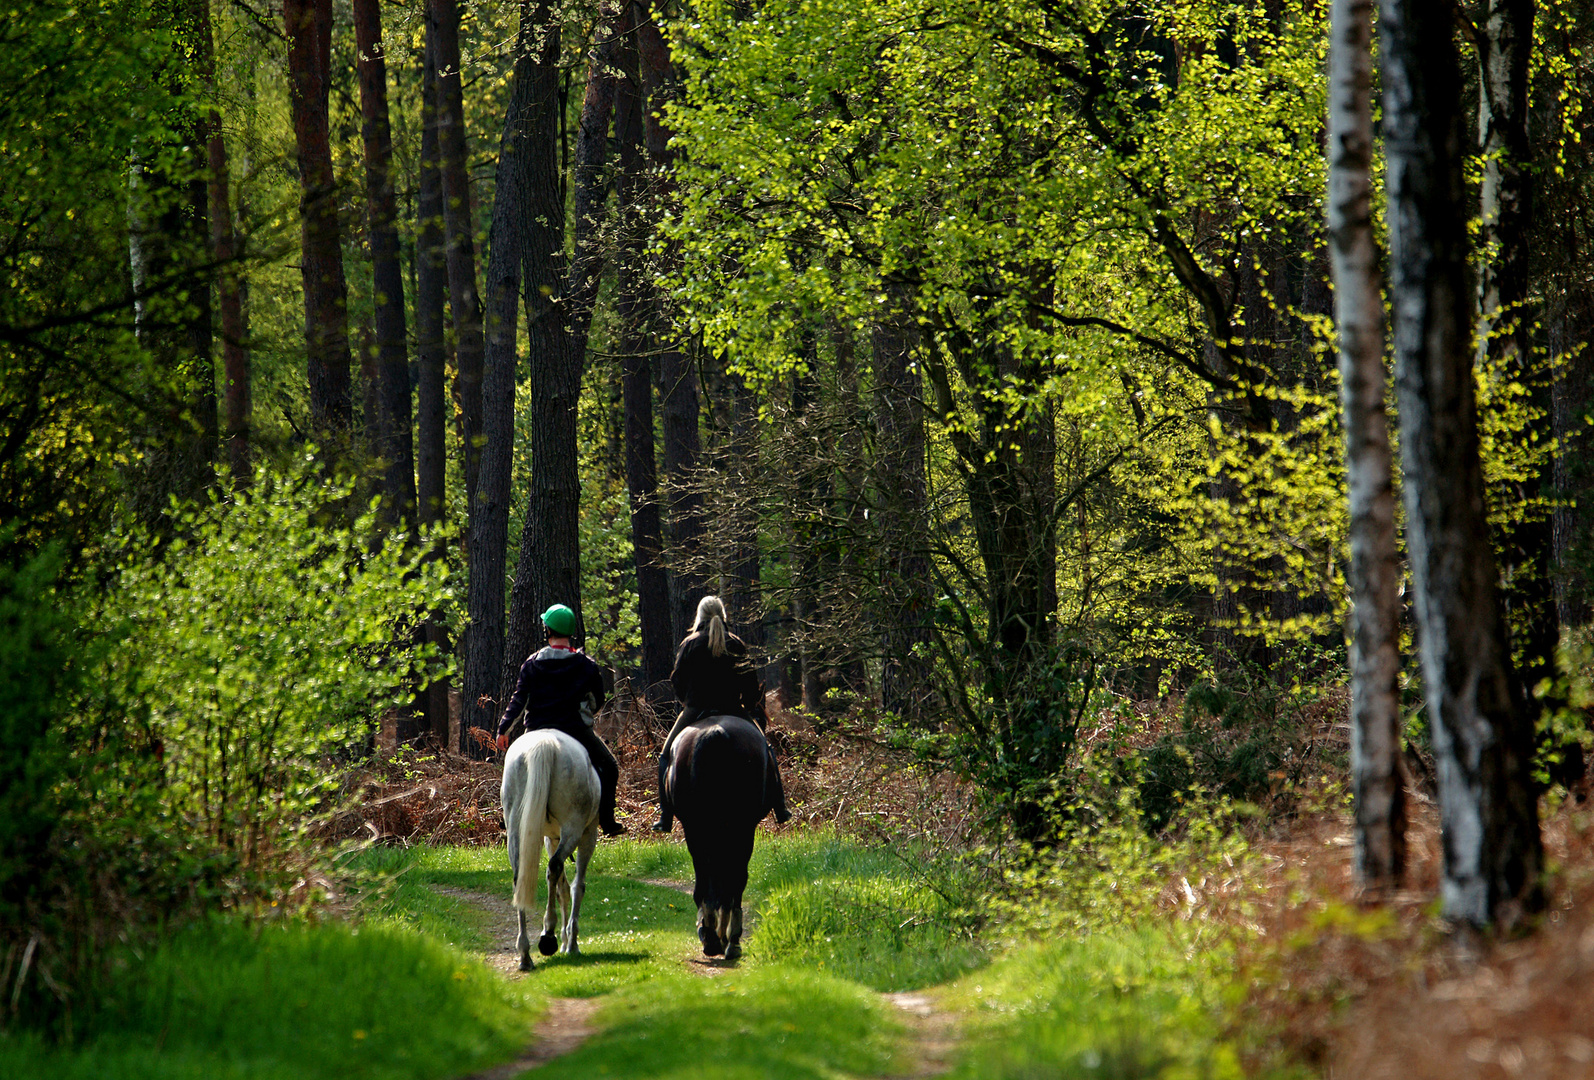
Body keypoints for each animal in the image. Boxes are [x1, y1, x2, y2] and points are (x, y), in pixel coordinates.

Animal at [500, 726, 599, 974]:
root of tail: (544, 743)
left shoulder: (551, 837)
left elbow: (561, 888)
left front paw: (564, 940)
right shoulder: (587, 834)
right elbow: (577, 886)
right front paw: (570, 943)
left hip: (516, 826)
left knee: (520, 877)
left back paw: (525, 953)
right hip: (574, 828)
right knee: (555, 869)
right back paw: (548, 937)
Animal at [663, 713, 781, 962]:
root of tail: (714, 734)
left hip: (698, 830)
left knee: (709, 881)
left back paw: (712, 936)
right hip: (737, 830)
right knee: (731, 882)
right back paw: (728, 939)